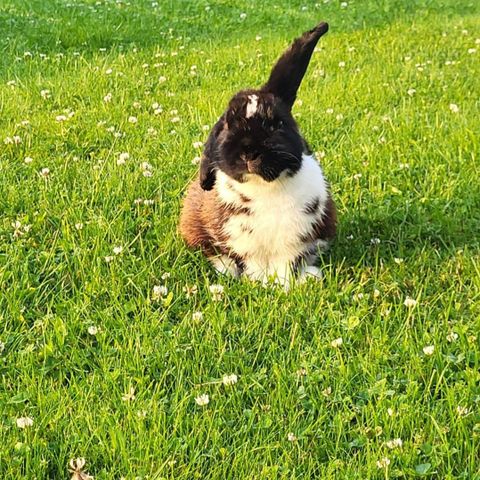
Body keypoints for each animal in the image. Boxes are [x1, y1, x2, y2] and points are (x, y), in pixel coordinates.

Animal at [178, 21, 336, 284]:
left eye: (277, 123)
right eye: (227, 124)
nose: (249, 152)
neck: (264, 187)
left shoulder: (294, 243)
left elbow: (287, 265)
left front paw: (285, 285)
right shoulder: (244, 243)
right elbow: (251, 263)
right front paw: (257, 282)